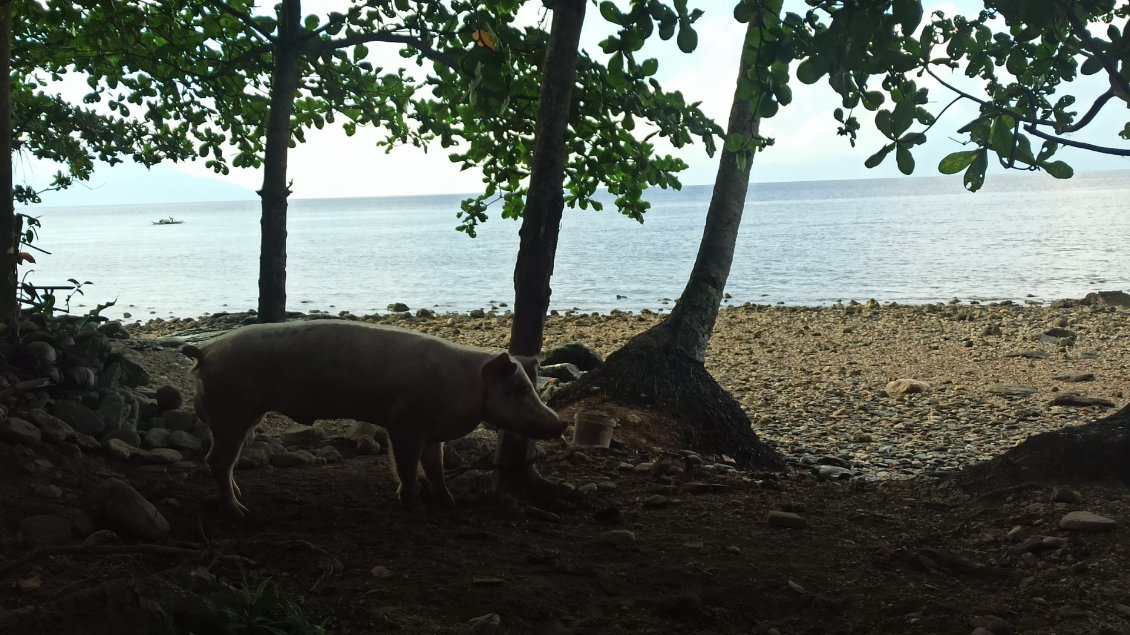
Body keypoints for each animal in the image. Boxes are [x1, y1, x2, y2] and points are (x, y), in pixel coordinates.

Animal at [181, 320, 569, 515]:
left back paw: (238, 498)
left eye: (530, 388)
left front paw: (449, 502)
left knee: (225, 461)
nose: (560, 423)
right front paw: (414, 505)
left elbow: (436, 467)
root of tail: (204, 350)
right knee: (216, 460)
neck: (467, 386)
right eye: (517, 391)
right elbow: (407, 466)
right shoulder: (404, 424)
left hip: (243, 414)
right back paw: (238, 511)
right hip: (231, 411)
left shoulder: (432, 433)